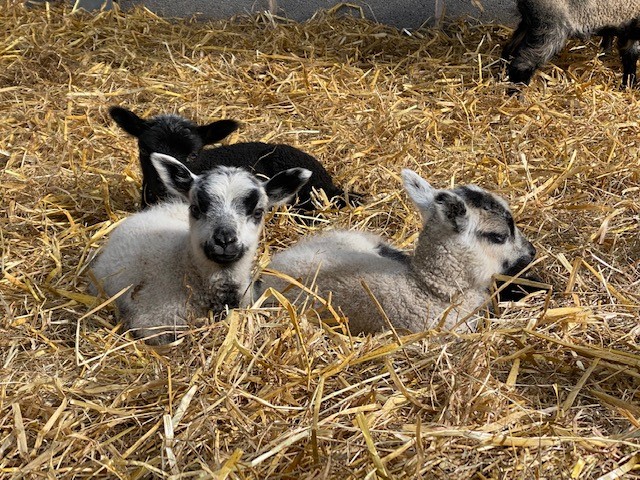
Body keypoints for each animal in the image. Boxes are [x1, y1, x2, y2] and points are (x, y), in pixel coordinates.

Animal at [501, 0, 640, 88]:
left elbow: (629, 57)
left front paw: (628, 84)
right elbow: (631, 56)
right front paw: (630, 84)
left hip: (531, 22)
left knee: (510, 48)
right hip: (551, 26)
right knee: (523, 63)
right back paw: (517, 94)